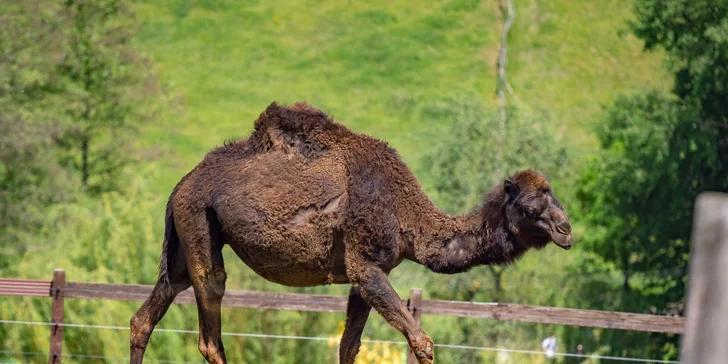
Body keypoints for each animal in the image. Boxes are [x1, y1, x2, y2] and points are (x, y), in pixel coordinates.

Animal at [131, 101, 576, 364]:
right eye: (532, 206)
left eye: (555, 195)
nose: (566, 229)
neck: (405, 215)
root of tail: (181, 185)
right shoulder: (366, 265)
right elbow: (422, 341)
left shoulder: (367, 272)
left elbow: (350, 345)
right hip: (198, 219)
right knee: (211, 306)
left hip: (183, 238)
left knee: (150, 310)